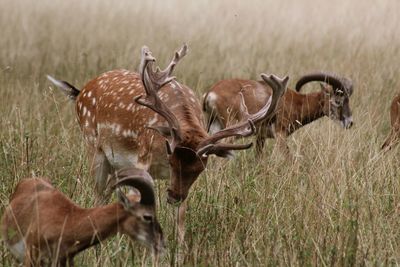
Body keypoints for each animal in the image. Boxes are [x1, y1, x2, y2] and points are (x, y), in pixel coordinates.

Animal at [47, 44, 290, 243]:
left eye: (200, 168)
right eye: (172, 159)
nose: (173, 196)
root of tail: (81, 91)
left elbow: (180, 219)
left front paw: (180, 250)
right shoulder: (142, 158)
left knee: (107, 192)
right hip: (93, 147)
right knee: (98, 193)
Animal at [203, 72, 354, 156]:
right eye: (337, 101)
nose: (349, 122)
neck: (296, 101)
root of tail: (210, 93)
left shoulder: (261, 137)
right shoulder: (280, 134)